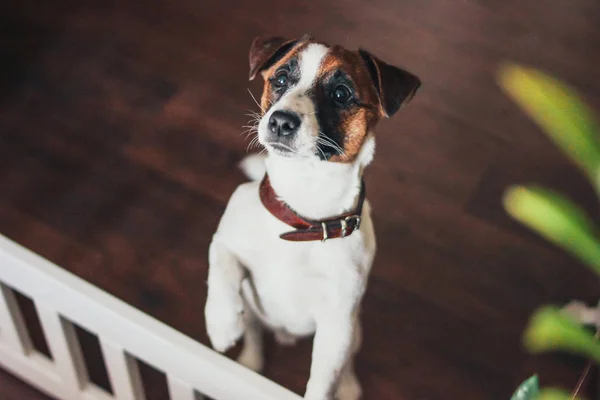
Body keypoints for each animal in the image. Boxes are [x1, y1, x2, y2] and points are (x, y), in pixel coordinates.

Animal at [204, 35, 420, 400]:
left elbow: (323, 379)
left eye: (341, 93)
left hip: (355, 331)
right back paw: (249, 361)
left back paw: (348, 385)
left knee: (347, 362)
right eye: (279, 79)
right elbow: (221, 270)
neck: (301, 219)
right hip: (253, 309)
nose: (280, 121)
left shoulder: (336, 325)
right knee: (255, 333)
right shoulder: (225, 240)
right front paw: (221, 323)